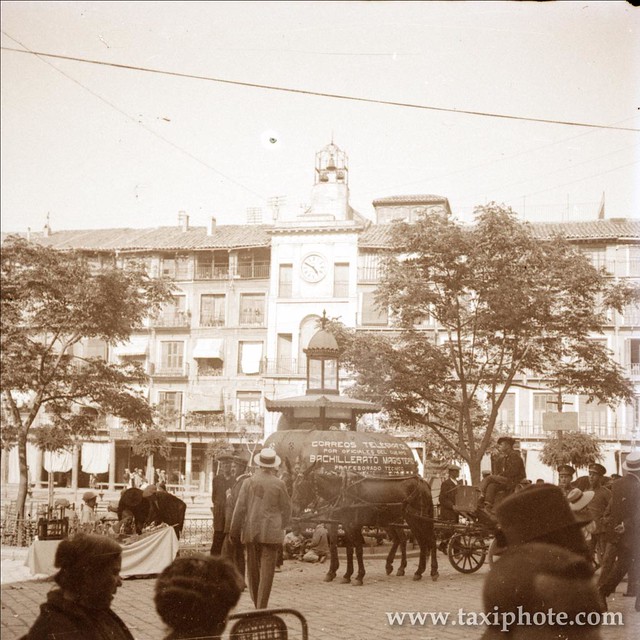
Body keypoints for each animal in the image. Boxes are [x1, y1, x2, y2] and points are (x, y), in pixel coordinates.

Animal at [292, 464, 438, 584]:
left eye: (300, 486)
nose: (293, 511)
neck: (341, 492)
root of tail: (424, 483)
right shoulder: (344, 524)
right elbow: (345, 548)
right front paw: (343, 574)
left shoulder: (353, 525)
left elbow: (357, 549)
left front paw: (358, 576)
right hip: (404, 520)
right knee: (415, 541)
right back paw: (414, 570)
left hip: (419, 518)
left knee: (429, 540)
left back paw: (432, 571)